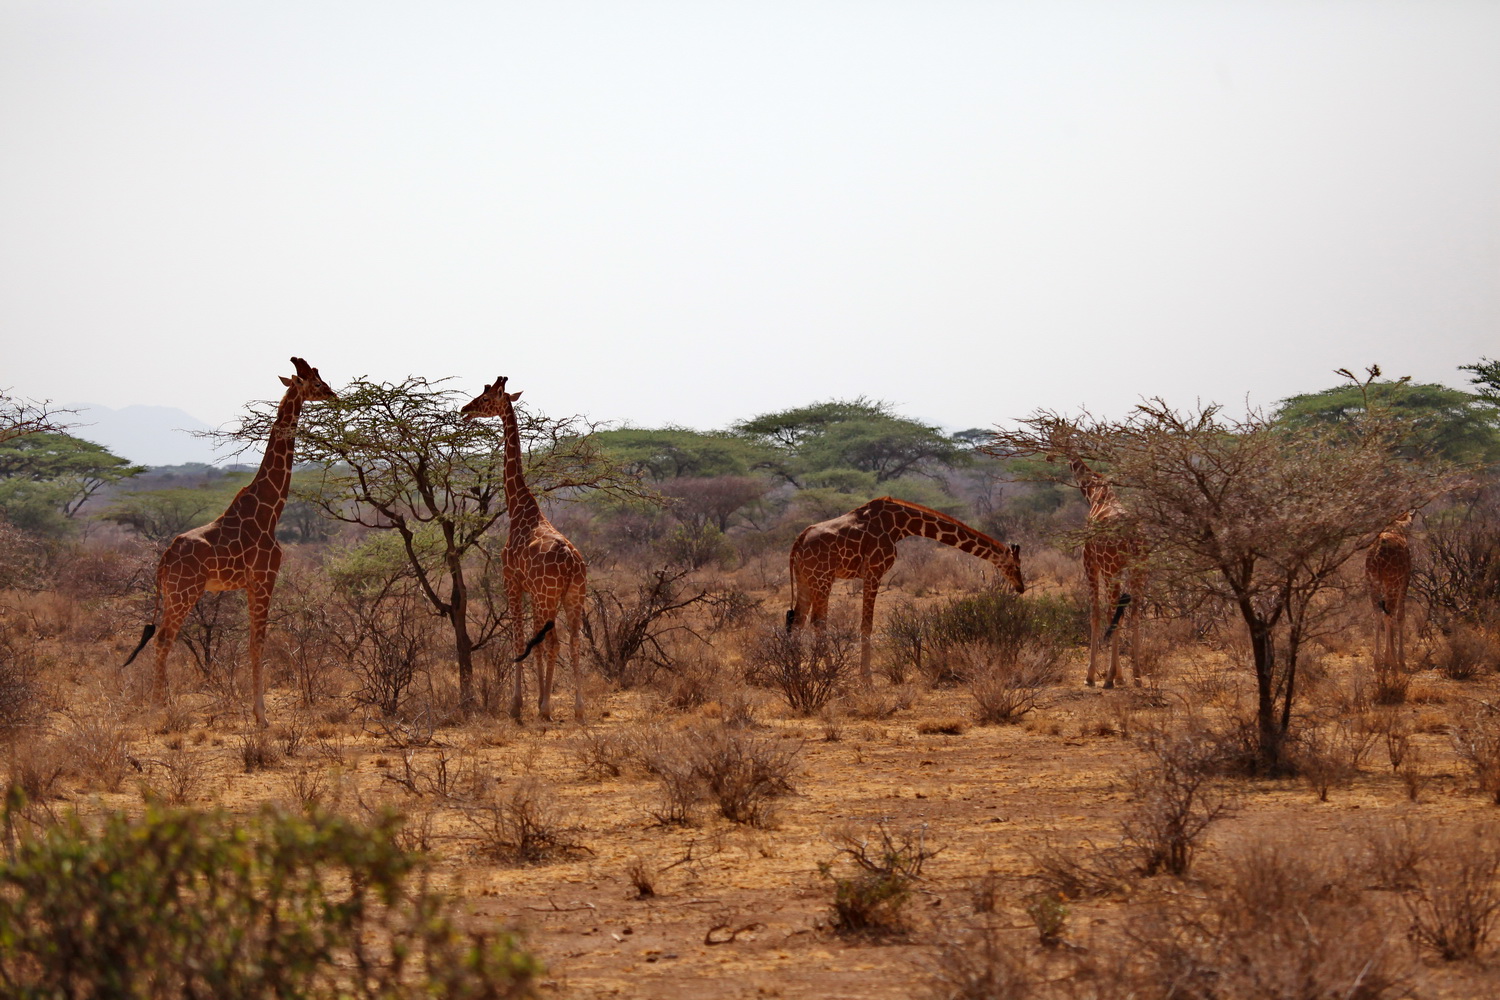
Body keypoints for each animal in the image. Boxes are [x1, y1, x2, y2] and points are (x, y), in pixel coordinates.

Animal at [121, 359, 339, 728]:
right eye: (316, 382)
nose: (335, 396)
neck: (270, 511)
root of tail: (163, 560)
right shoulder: (265, 577)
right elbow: (258, 642)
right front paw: (262, 717)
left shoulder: (251, 583)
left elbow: (250, 640)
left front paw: (257, 712)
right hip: (185, 592)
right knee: (164, 639)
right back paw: (157, 710)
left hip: (173, 593)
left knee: (162, 638)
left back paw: (162, 704)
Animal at [456, 374, 585, 719]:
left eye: (486, 399)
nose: (464, 410)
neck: (518, 508)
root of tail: (572, 563)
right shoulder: (528, 589)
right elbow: (532, 641)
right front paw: (536, 697)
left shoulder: (511, 582)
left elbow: (517, 639)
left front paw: (518, 705)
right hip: (574, 596)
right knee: (573, 641)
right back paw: (579, 709)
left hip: (547, 596)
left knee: (554, 641)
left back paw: (546, 708)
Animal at [792, 497, 1026, 680]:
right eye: (1016, 565)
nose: (1021, 587)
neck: (899, 525)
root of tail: (798, 541)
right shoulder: (874, 571)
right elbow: (866, 625)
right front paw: (866, 678)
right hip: (822, 578)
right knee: (817, 621)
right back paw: (829, 671)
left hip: (805, 579)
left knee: (798, 621)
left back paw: (796, 672)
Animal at [1062, 452, 1140, 689]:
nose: (1048, 457)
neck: (1094, 492)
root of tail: (1131, 535)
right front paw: (1121, 676)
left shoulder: (1090, 562)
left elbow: (1096, 613)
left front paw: (1093, 675)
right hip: (1139, 569)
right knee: (1134, 610)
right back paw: (1137, 675)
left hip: (1110, 567)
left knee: (1114, 611)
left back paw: (1108, 678)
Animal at [1368, 512, 1410, 677]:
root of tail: (1377, 551)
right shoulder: (1405, 580)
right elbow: (1400, 616)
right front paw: (1400, 660)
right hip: (1392, 583)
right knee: (1389, 614)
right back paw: (1389, 661)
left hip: (1373, 583)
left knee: (1377, 614)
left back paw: (1377, 662)